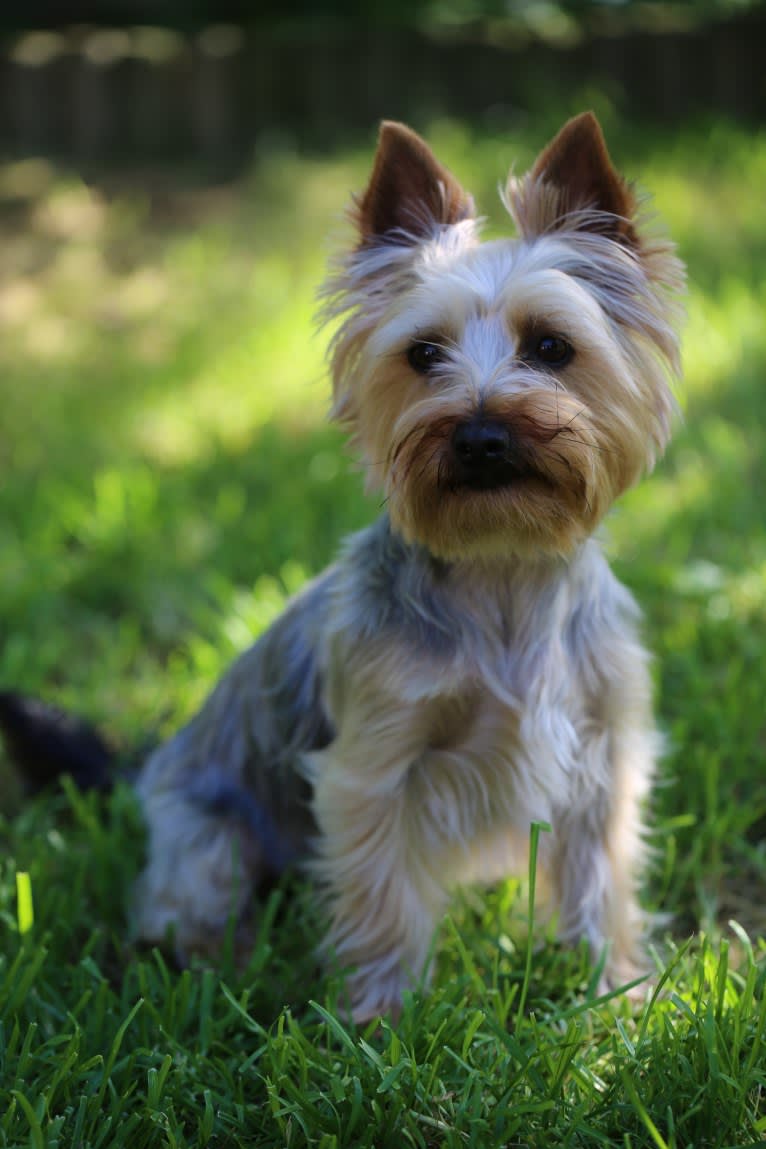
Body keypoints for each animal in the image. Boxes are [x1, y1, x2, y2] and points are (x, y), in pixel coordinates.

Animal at [0, 112, 684, 1020]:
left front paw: (613, 995)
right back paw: (217, 963)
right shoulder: (376, 761)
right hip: (206, 832)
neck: (502, 564)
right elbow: (383, 892)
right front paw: (385, 1018)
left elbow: (599, 880)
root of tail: (144, 770)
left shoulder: (603, 750)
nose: (480, 435)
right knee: (190, 899)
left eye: (551, 346)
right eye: (423, 354)